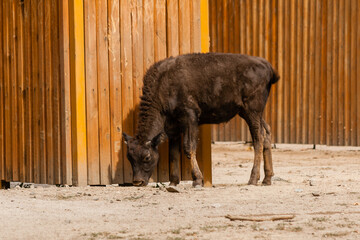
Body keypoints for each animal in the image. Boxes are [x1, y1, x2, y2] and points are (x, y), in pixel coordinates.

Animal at [122, 52, 280, 188]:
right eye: (129, 157)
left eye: (147, 157)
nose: (137, 182)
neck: (163, 85)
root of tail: (267, 66)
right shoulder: (173, 128)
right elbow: (173, 153)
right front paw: (173, 182)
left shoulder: (190, 117)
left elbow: (188, 147)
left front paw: (197, 180)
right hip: (251, 113)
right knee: (267, 133)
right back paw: (267, 179)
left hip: (251, 111)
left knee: (258, 138)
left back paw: (253, 179)